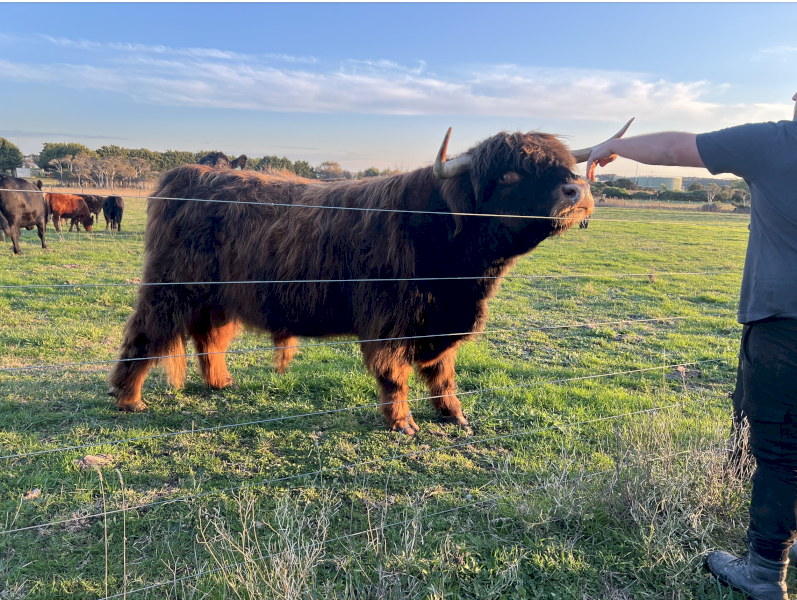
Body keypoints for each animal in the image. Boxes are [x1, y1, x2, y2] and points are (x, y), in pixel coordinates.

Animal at [108, 121, 633, 434]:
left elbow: (441, 372)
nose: (577, 190)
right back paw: (129, 400)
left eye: (561, 164)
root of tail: (185, 174)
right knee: (144, 334)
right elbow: (394, 373)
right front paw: (402, 423)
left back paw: (221, 384)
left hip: (216, 296)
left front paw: (455, 415)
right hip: (170, 287)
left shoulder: (442, 320)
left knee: (209, 336)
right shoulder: (389, 318)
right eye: (507, 175)